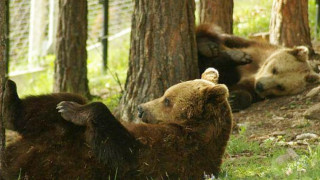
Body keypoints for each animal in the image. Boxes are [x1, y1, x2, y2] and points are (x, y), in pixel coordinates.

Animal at [1, 68, 232, 179]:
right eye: (165, 94)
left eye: (168, 100)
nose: (140, 108)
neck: (194, 129)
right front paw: (70, 108)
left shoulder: (173, 151)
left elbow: (122, 153)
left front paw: (73, 110)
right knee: (61, 99)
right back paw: (11, 97)